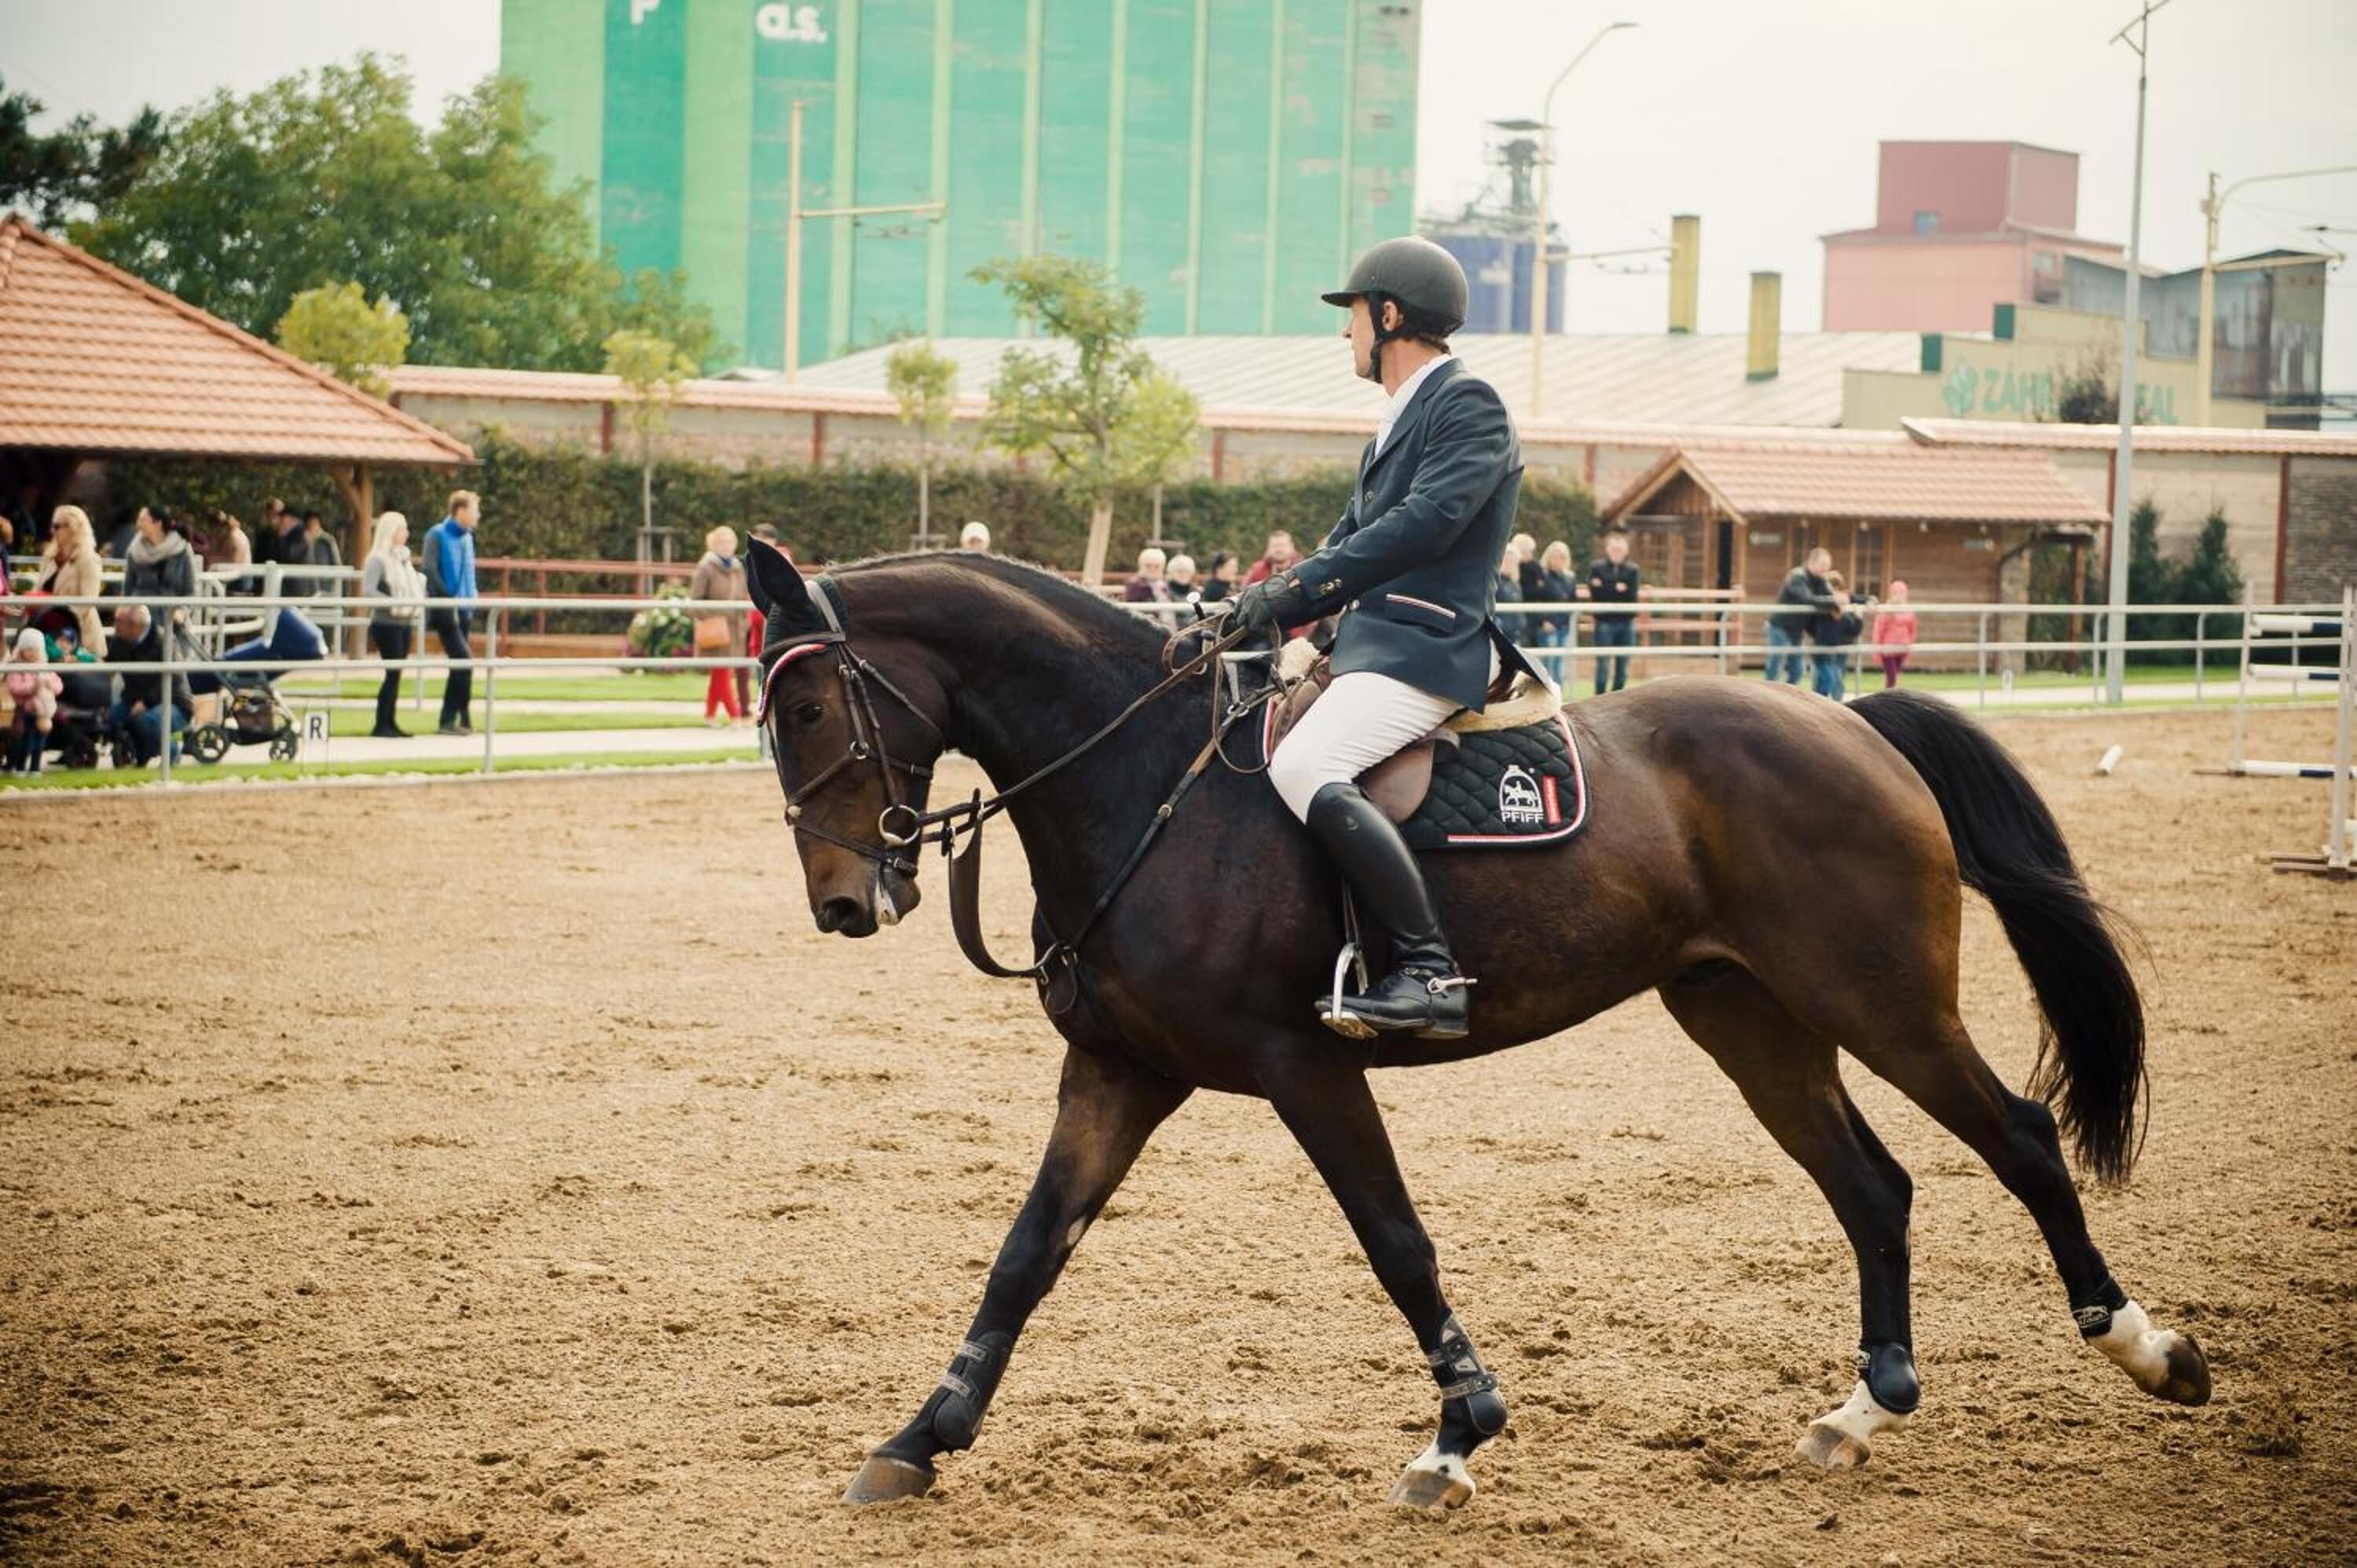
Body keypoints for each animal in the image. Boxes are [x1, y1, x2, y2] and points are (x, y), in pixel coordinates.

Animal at [743, 541, 2210, 1511]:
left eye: (808, 707)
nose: (840, 903)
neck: (1148, 783)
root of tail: (1852, 722)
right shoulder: (1118, 1072)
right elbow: (1024, 1257)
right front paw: (919, 1439)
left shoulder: (1303, 1066)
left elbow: (1396, 1243)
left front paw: (1460, 1433)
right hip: (1750, 1017)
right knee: (1873, 1186)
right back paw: (1863, 1411)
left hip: (1882, 1001)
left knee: (2019, 1141)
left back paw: (2147, 1349)